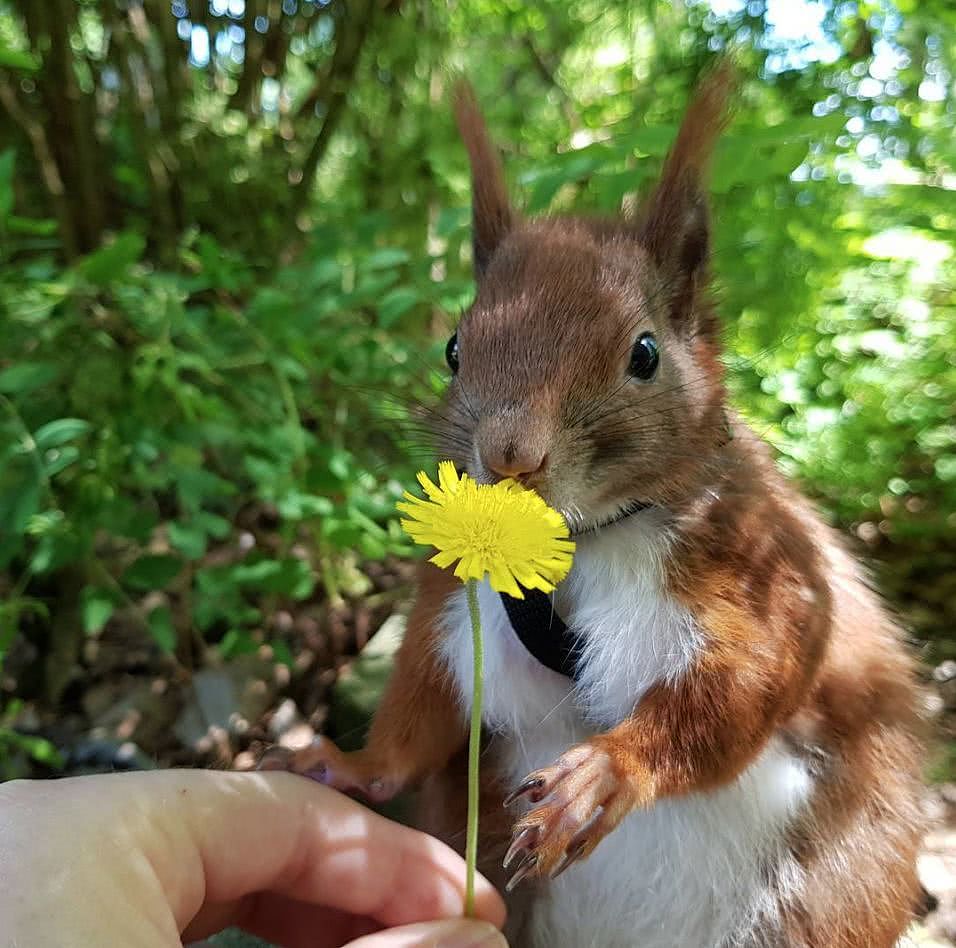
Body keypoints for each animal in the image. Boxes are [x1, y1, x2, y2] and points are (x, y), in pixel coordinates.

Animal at [264, 66, 928, 948]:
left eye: (644, 354)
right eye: (453, 349)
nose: (511, 454)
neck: (577, 545)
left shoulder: (762, 571)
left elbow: (747, 682)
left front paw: (607, 773)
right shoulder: (453, 602)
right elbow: (421, 707)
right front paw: (348, 765)